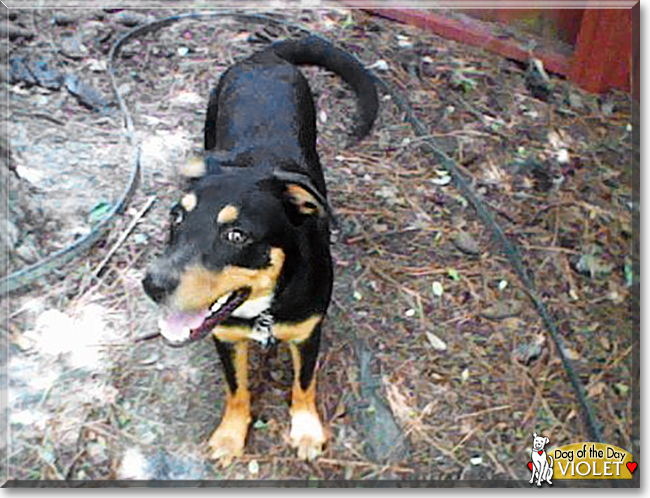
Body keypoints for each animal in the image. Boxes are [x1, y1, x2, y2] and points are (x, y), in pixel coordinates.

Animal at [140, 36, 374, 466]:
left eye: (237, 235)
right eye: (176, 217)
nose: (153, 284)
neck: (264, 307)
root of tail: (264, 56)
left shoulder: (308, 332)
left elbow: (304, 384)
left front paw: (306, 430)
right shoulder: (226, 336)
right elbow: (237, 390)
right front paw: (231, 436)